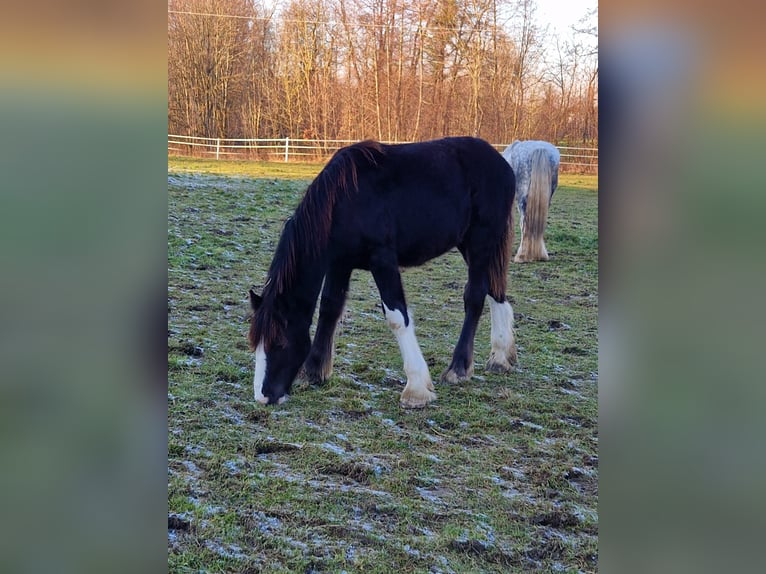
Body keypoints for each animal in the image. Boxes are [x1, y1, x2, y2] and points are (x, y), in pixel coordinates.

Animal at [248, 137, 517, 408]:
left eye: (279, 342)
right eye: (256, 342)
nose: (263, 396)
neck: (345, 201)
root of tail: (502, 163)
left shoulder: (383, 261)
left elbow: (397, 316)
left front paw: (416, 389)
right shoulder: (340, 263)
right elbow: (329, 309)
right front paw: (314, 371)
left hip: (481, 241)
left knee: (475, 296)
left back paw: (458, 369)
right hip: (471, 245)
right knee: (495, 290)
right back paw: (501, 357)